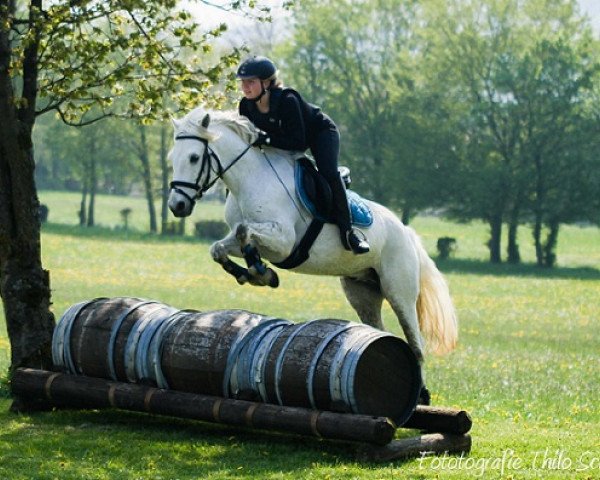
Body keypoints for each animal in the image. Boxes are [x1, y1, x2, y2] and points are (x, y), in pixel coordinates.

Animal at [166, 107, 458, 400]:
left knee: (415, 342)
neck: (248, 179)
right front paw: (253, 273)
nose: (177, 205)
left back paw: (421, 393)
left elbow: (245, 231)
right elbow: (221, 247)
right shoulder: (250, 240)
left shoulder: (283, 241)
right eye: (172, 158)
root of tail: (405, 231)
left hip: (398, 290)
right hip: (361, 291)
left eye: (193, 158)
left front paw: (261, 273)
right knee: (380, 329)